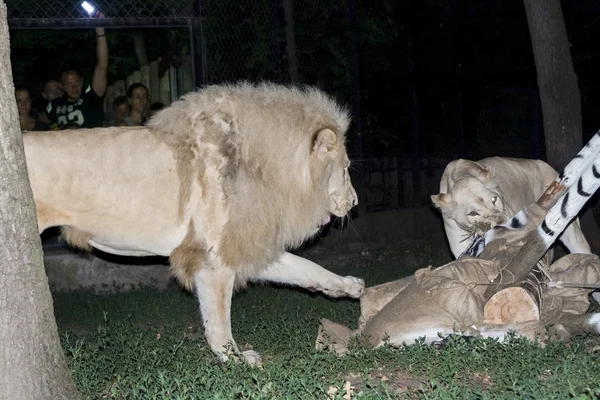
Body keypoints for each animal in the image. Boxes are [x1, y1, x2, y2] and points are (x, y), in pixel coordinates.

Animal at [23, 83, 366, 364]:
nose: (355, 203)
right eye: (346, 169)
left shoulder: (241, 243)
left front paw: (347, 286)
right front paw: (235, 358)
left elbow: (303, 267)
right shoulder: (213, 258)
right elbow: (218, 319)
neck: (264, 169)